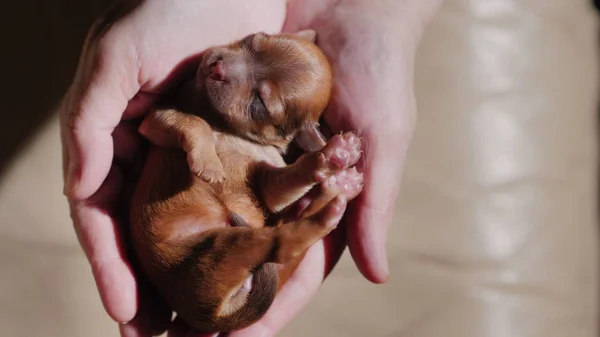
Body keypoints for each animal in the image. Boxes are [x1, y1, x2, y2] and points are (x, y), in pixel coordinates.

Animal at [129, 30, 364, 330]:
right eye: (253, 40)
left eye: (259, 106)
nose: (217, 67)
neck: (226, 127)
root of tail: (214, 315)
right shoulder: (157, 118)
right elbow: (194, 122)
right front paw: (209, 163)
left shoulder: (268, 185)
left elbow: (289, 178)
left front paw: (326, 158)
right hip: (214, 253)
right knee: (279, 246)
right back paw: (332, 196)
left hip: (218, 252)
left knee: (281, 246)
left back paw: (336, 182)